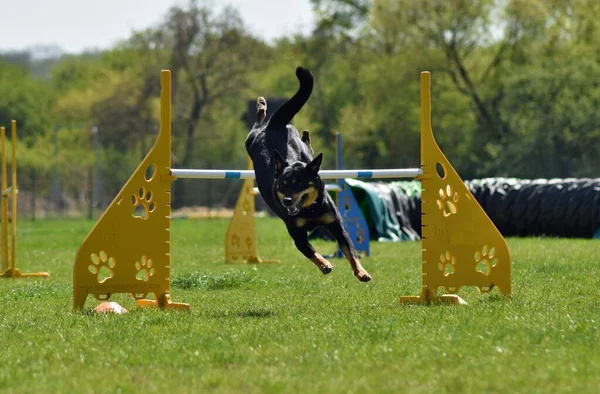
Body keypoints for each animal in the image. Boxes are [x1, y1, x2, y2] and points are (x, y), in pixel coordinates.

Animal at [244, 66, 370, 282]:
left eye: (298, 183)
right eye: (282, 185)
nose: (286, 201)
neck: (309, 209)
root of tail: (273, 127)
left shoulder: (336, 224)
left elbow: (350, 250)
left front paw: (361, 272)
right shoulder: (297, 235)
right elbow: (310, 251)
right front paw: (325, 264)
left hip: (300, 148)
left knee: (305, 145)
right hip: (250, 140)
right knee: (258, 123)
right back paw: (261, 106)